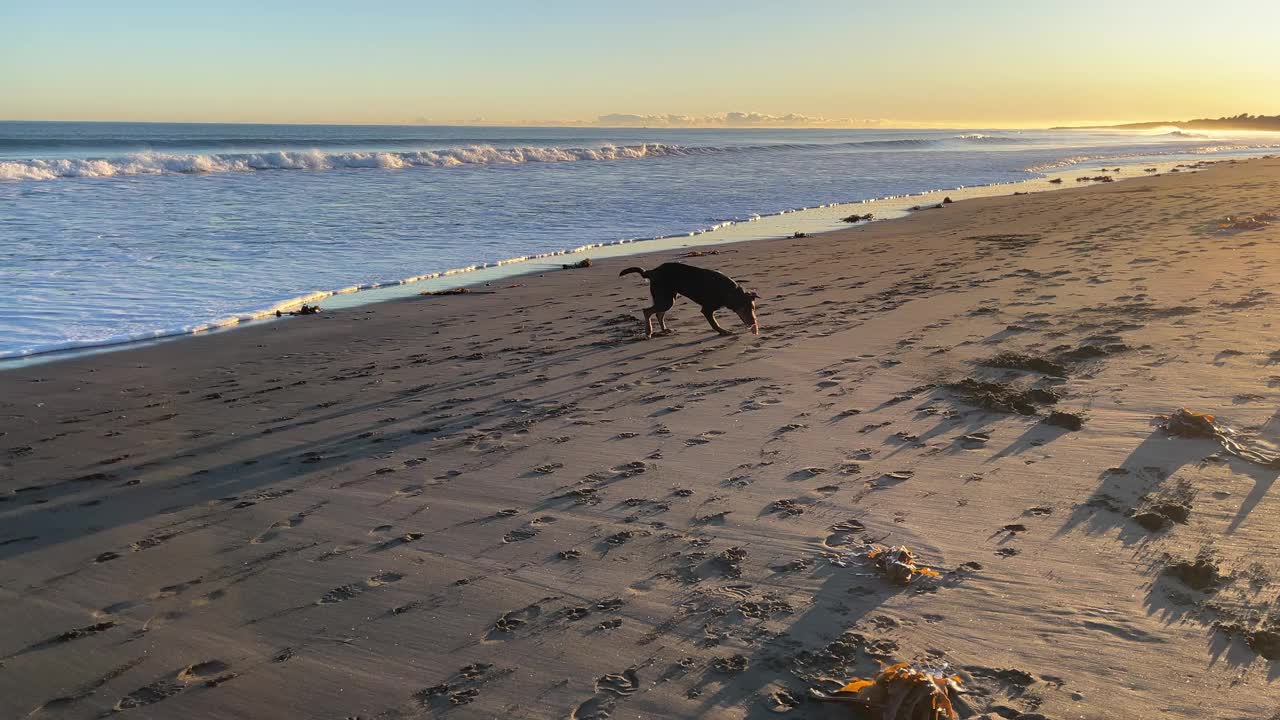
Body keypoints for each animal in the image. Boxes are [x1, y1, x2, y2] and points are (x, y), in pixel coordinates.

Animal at [619, 260, 757, 335]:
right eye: (745, 308)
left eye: (753, 308)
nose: (754, 323)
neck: (730, 291)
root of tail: (652, 271)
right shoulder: (707, 309)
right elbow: (714, 324)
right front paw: (724, 332)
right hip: (666, 299)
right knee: (647, 311)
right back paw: (649, 332)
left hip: (668, 298)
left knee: (659, 314)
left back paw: (664, 329)